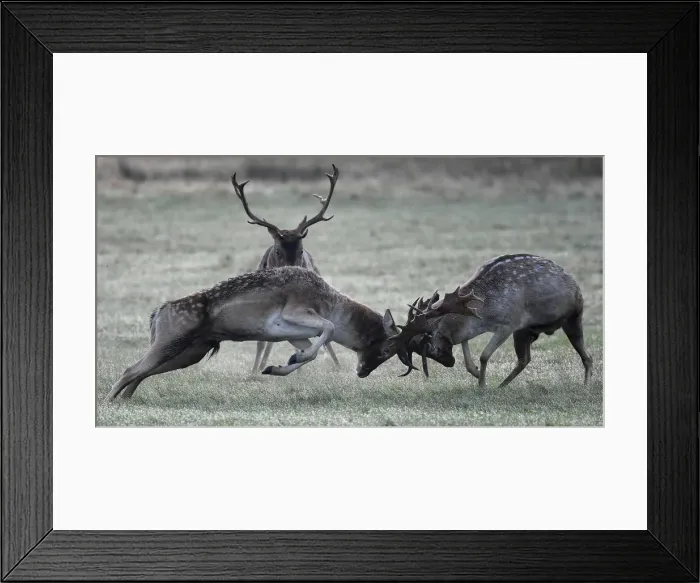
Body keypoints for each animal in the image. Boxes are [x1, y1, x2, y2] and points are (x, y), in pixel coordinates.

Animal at [106, 266, 430, 401]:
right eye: (387, 349)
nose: (362, 372)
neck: (330, 303)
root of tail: (156, 313)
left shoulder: (289, 332)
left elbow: (310, 350)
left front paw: (277, 366)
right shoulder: (294, 312)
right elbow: (328, 328)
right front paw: (283, 363)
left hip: (191, 351)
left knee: (142, 372)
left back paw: (126, 400)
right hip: (170, 339)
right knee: (130, 369)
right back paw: (110, 403)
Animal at [397, 254, 593, 388]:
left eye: (428, 345)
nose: (449, 362)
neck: (485, 312)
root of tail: (576, 286)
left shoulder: (509, 324)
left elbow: (484, 355)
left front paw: (482, 385)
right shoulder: (470, 328)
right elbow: (467, 354)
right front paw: (478, 375)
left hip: (573, 317)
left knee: (587, 356)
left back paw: (586, 385)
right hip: (525, 331)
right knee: (525, 359)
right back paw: (502, 386)